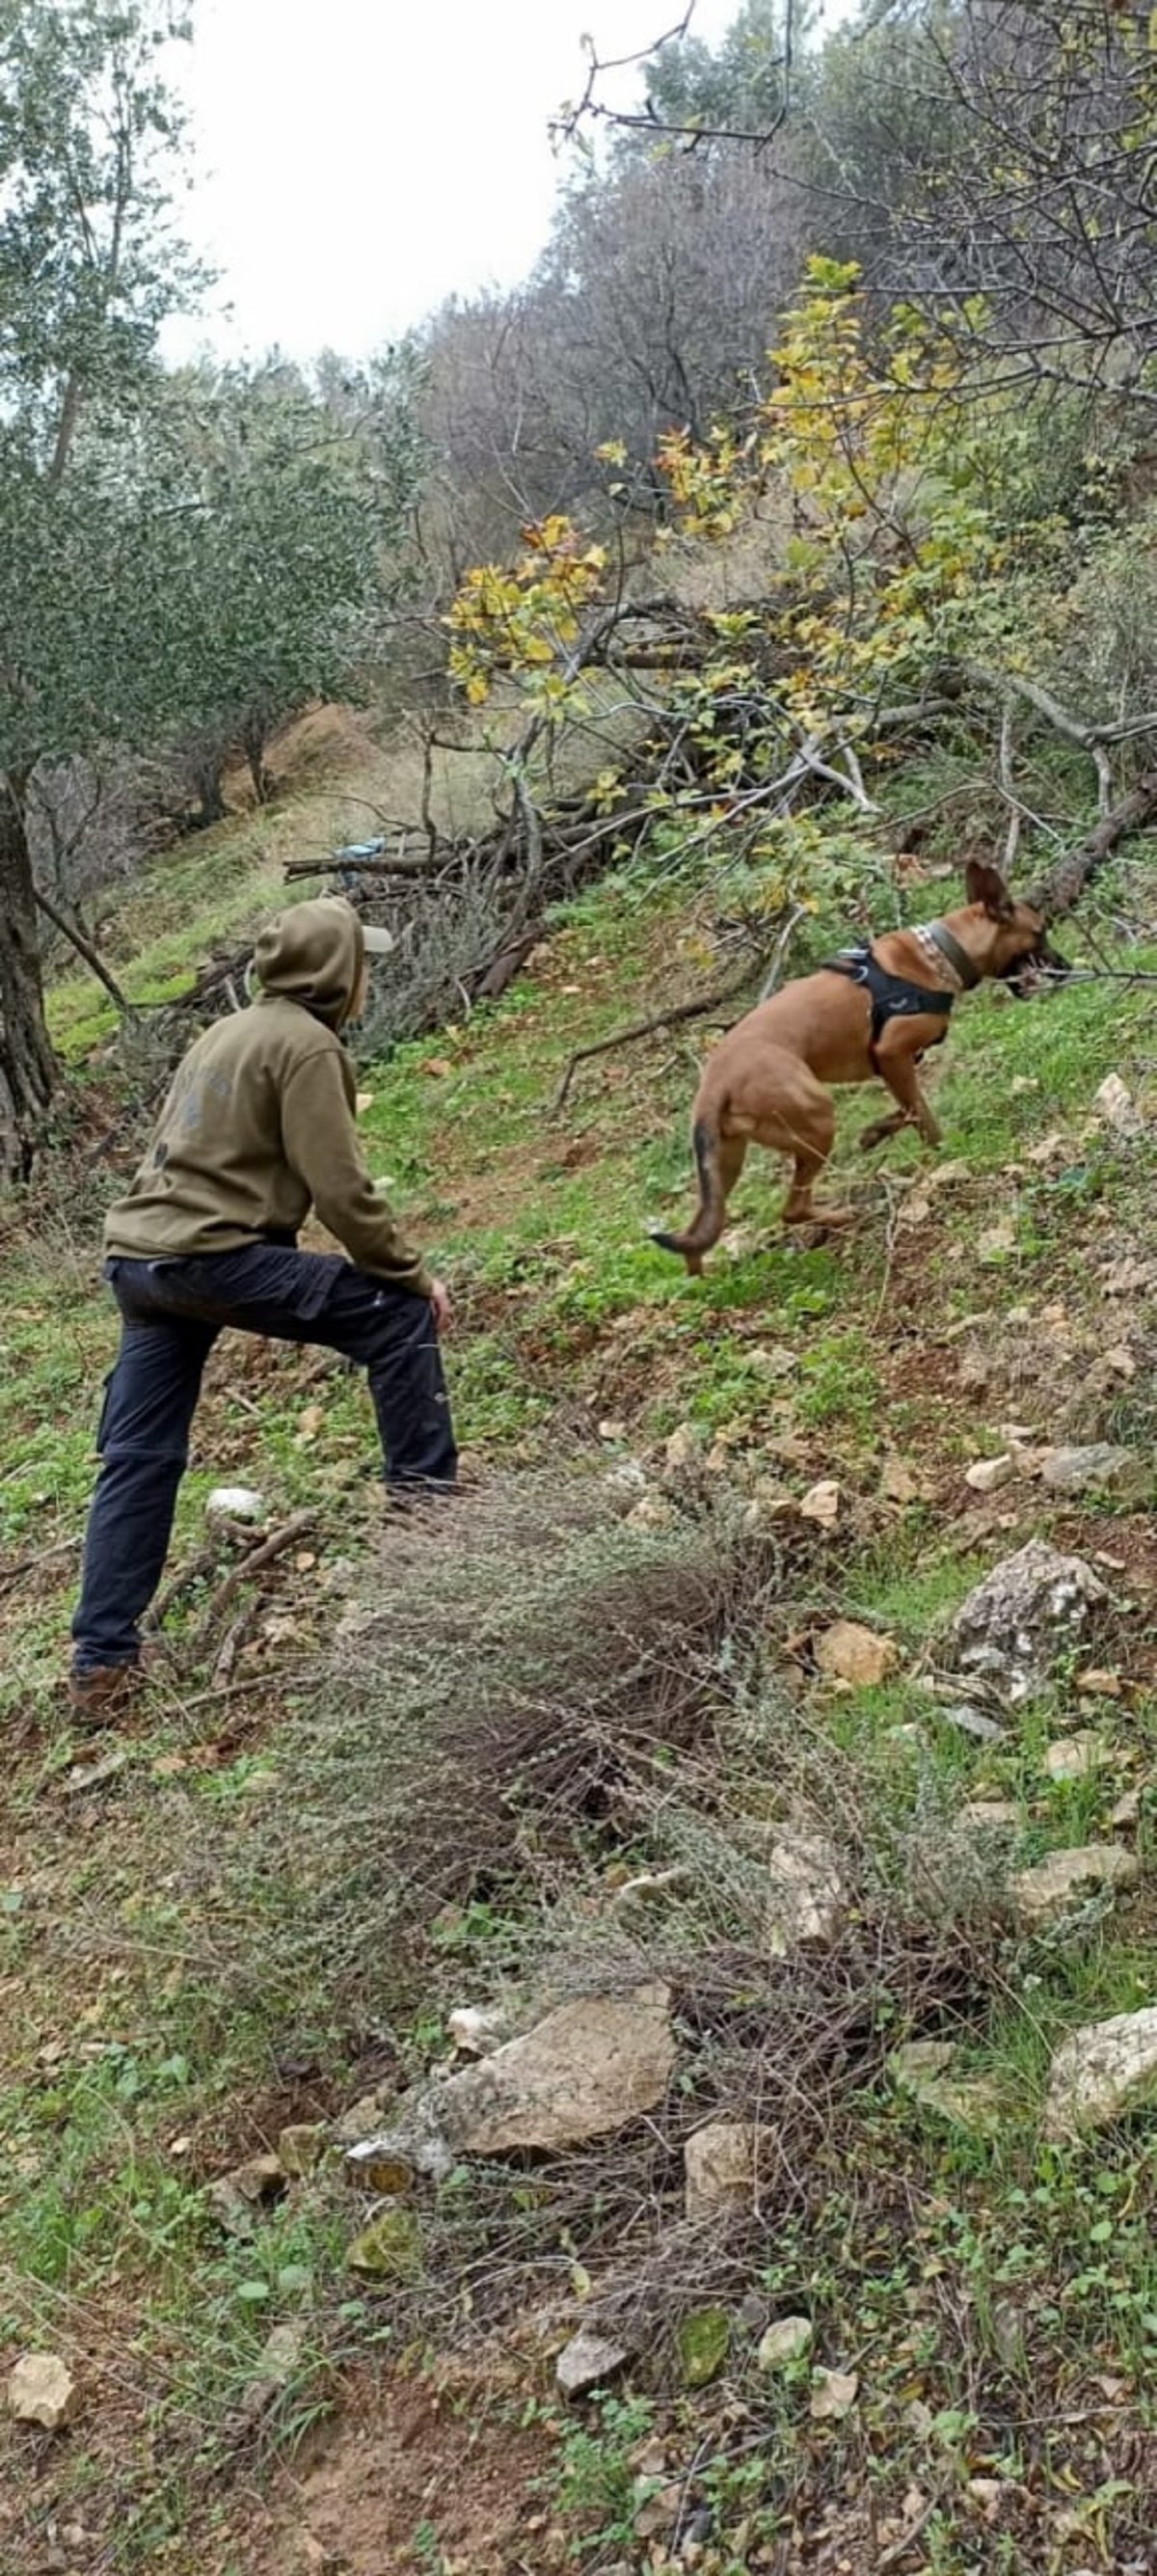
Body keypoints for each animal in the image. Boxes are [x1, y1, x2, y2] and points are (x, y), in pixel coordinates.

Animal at [649, 860, 1056, 1272]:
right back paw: (843, 1217)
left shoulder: (893, 1066)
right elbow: (918, 1112)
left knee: (701, 1231)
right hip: (817, 1119)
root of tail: (714, 1085)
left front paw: (875, 1132)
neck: (938, 953)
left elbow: (907, 1108)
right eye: (1040, 932)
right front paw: (937, 1152)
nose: (1064, 966)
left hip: (728, 1161)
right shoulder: (892, 1054)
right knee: (792, 1209)